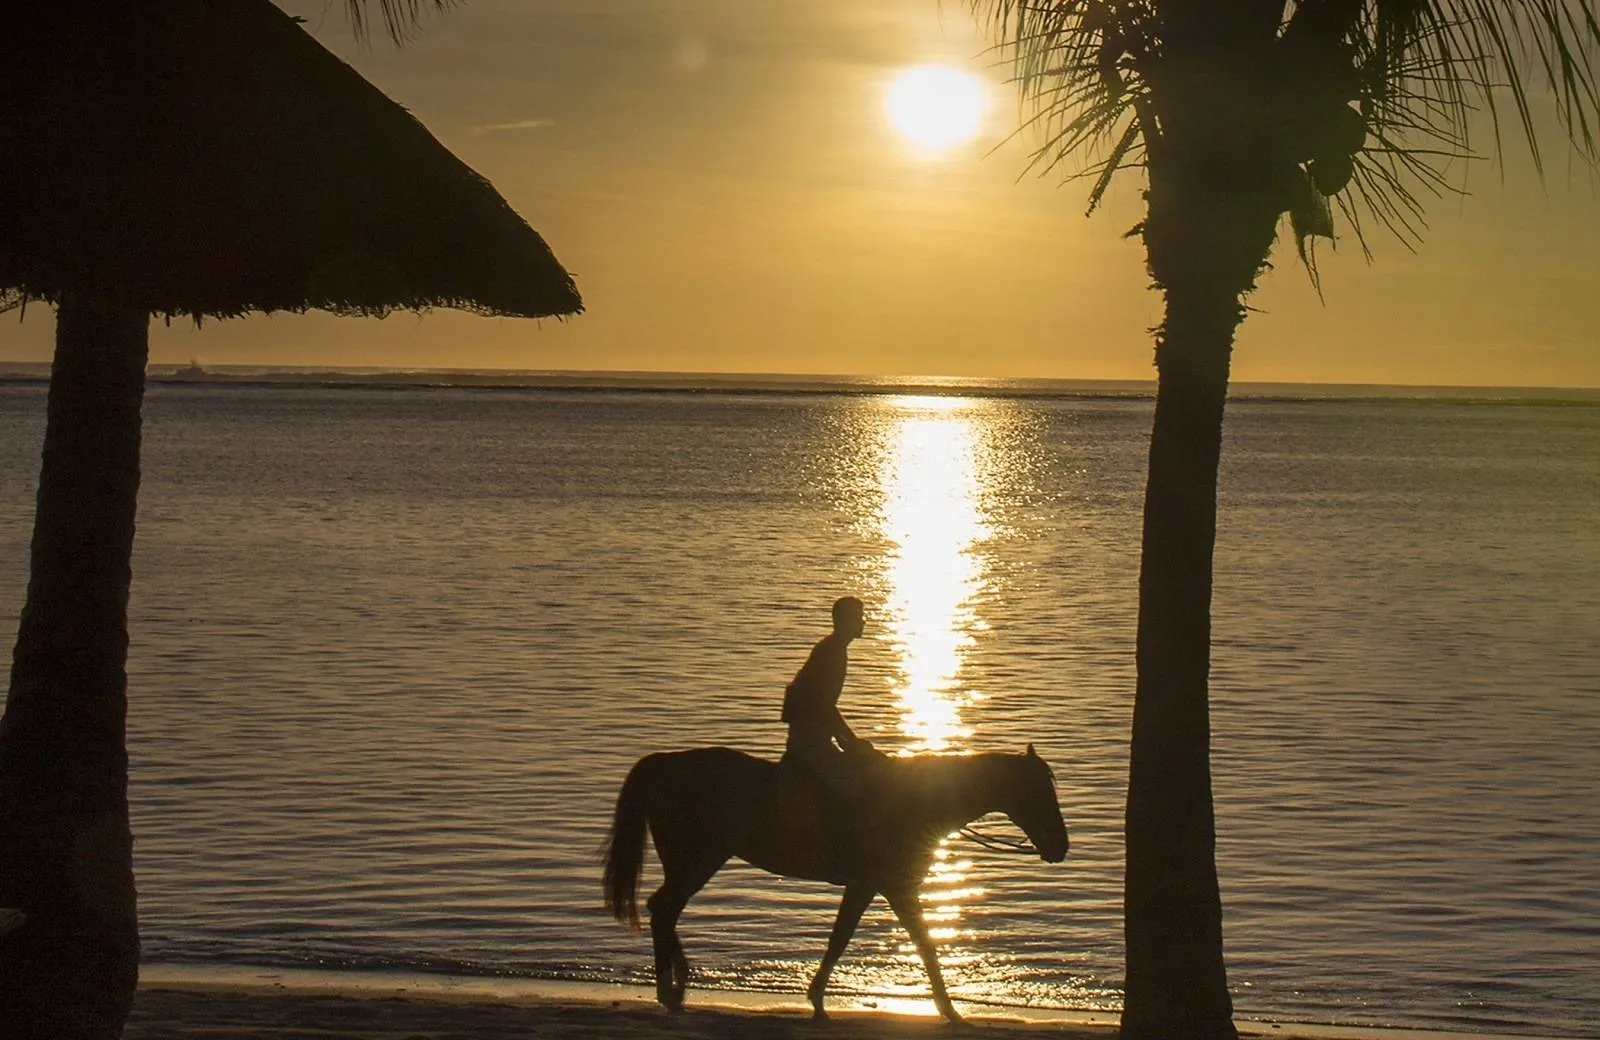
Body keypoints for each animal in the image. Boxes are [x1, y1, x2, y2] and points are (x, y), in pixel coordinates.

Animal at [601, 743, 1069, 1023]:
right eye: (1039, 793)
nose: (1061, 846)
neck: (917, 801)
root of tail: (663, 762)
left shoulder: (865, 886)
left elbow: (841, 938)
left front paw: (816, 996)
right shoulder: (894, 887)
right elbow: (924, 945)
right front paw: (949, 1010)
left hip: (694, 863)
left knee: (664, 911)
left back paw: (675, 982)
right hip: (696, 861)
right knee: (664, 910)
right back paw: (671, 987)